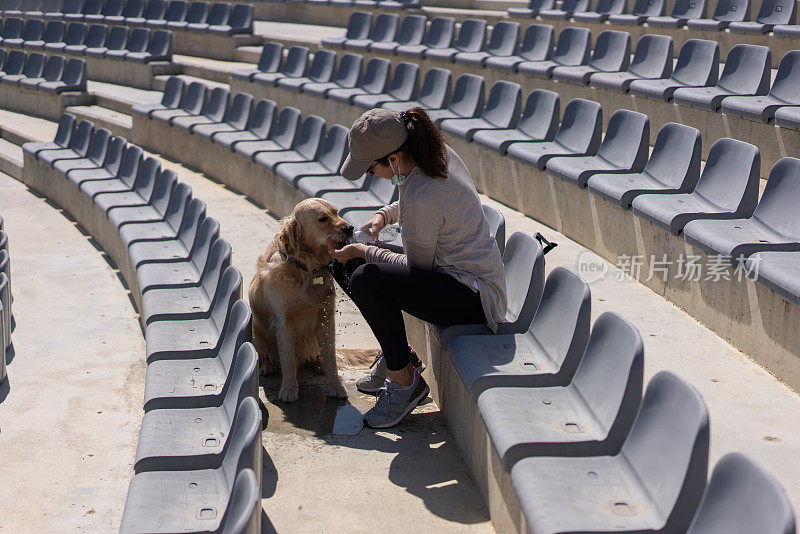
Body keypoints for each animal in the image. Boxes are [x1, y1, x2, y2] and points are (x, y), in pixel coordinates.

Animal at [248, 199, 352, 404]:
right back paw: (267, 366)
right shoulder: (285, 323)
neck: (306, 267)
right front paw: (289, 390)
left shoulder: (326, 319)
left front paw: (335, 386)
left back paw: (318, 363)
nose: (350, 228)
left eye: (336, 212)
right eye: (322, 219)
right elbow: (288, 361)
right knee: (266, 354)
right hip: (256, 328)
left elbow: (331, 358)